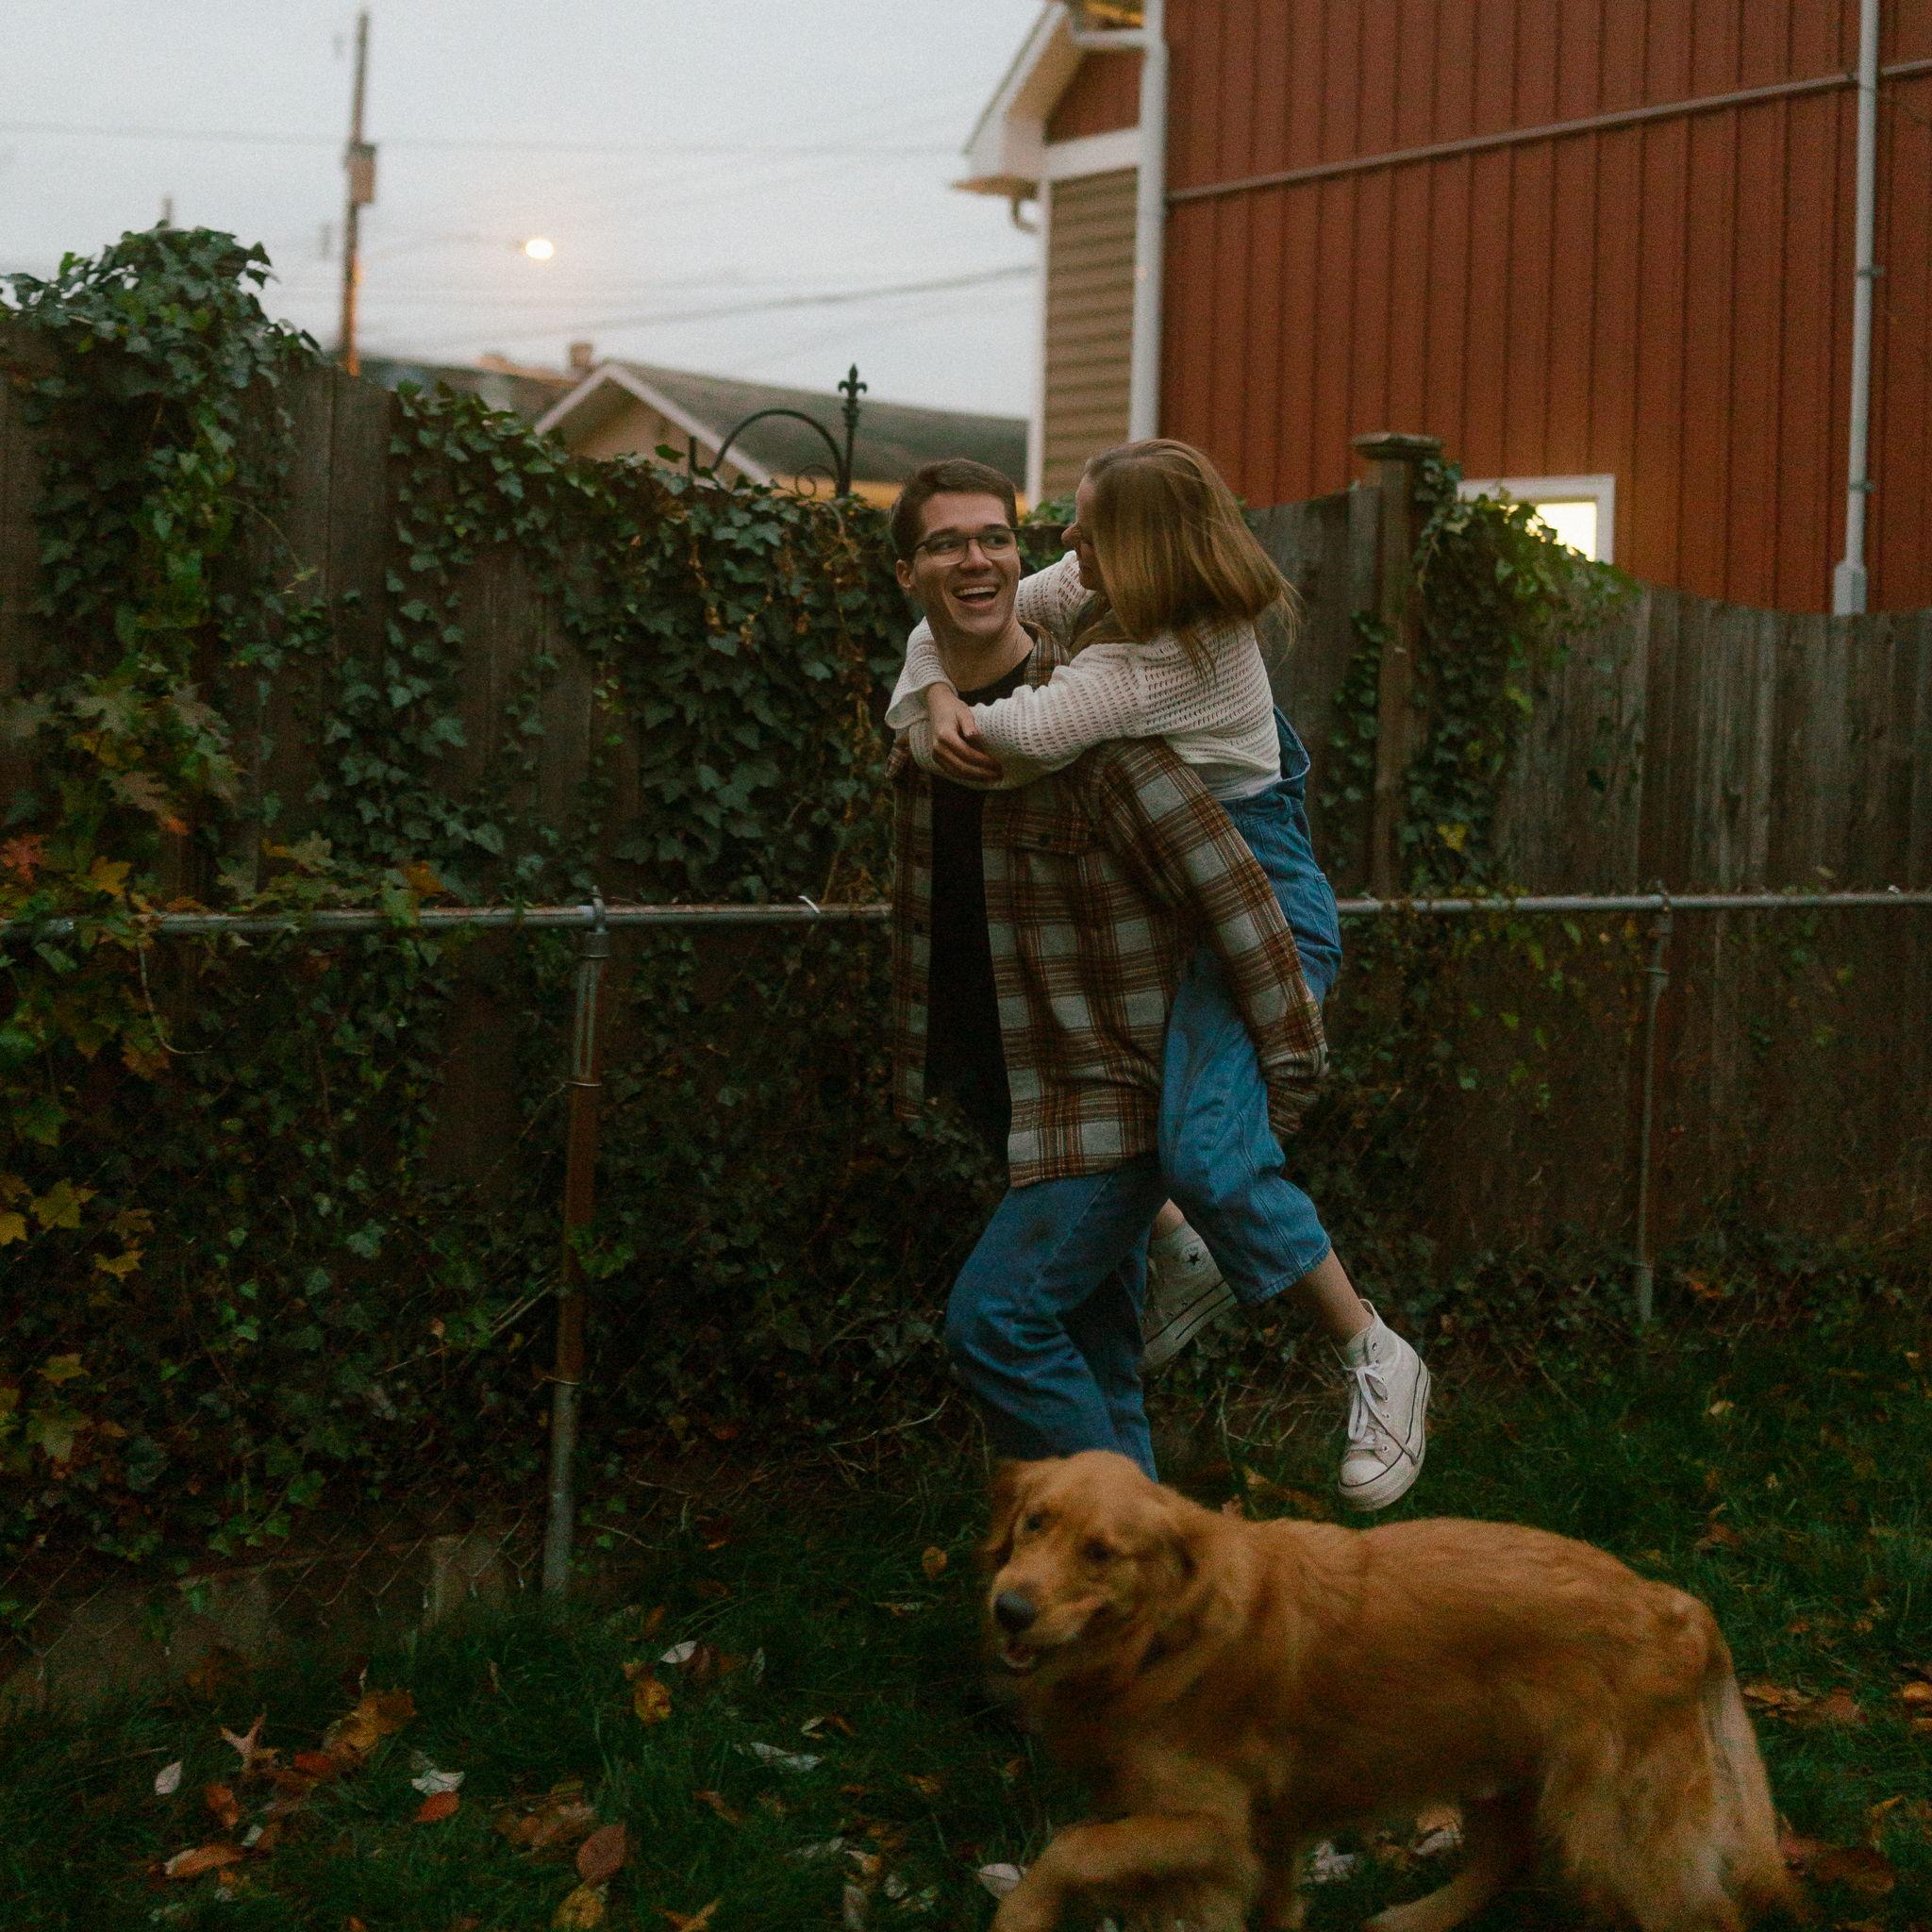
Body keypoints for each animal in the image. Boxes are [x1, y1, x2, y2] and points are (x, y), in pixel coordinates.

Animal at [981, 1451, 1795, 1932]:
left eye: (1099, 1553)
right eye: (1034, 1523)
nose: (1008, 1610)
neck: (1158, 1638)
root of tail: (1674, 1606)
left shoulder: (1215, 1828)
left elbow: (1070, 1847)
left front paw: (1021, 1915)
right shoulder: (1267, 1834)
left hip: (1617, 1832)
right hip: (1492, 1763)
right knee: (1508, 1855)